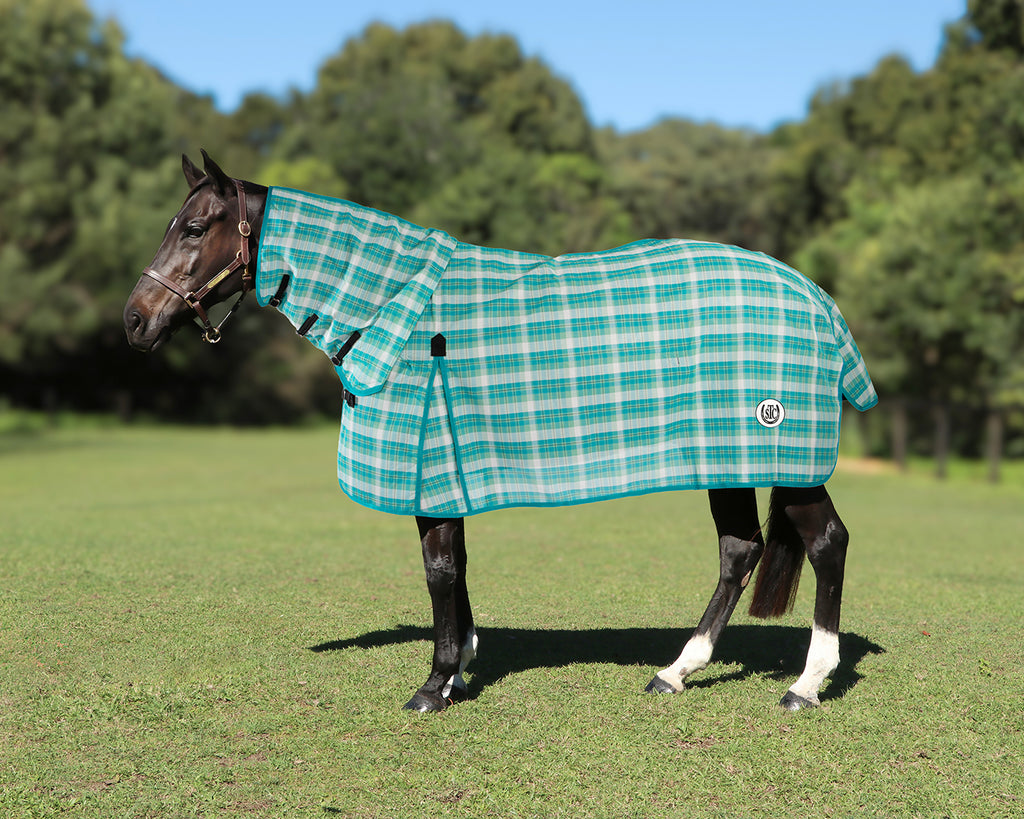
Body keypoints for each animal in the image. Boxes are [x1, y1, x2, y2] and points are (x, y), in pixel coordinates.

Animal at [124, 151, 877, 713]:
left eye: (196, 229)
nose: (135, 320)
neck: (394, 306)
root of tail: (820, 303)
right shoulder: (445, 471)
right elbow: (455, 568)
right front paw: (459, 666)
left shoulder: (428, 467)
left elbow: (438, 569)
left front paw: (435, 684)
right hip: (729, 457)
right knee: (739, 550)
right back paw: (676, 671)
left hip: (782, 454)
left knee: (827, 543)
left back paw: (807, 683)